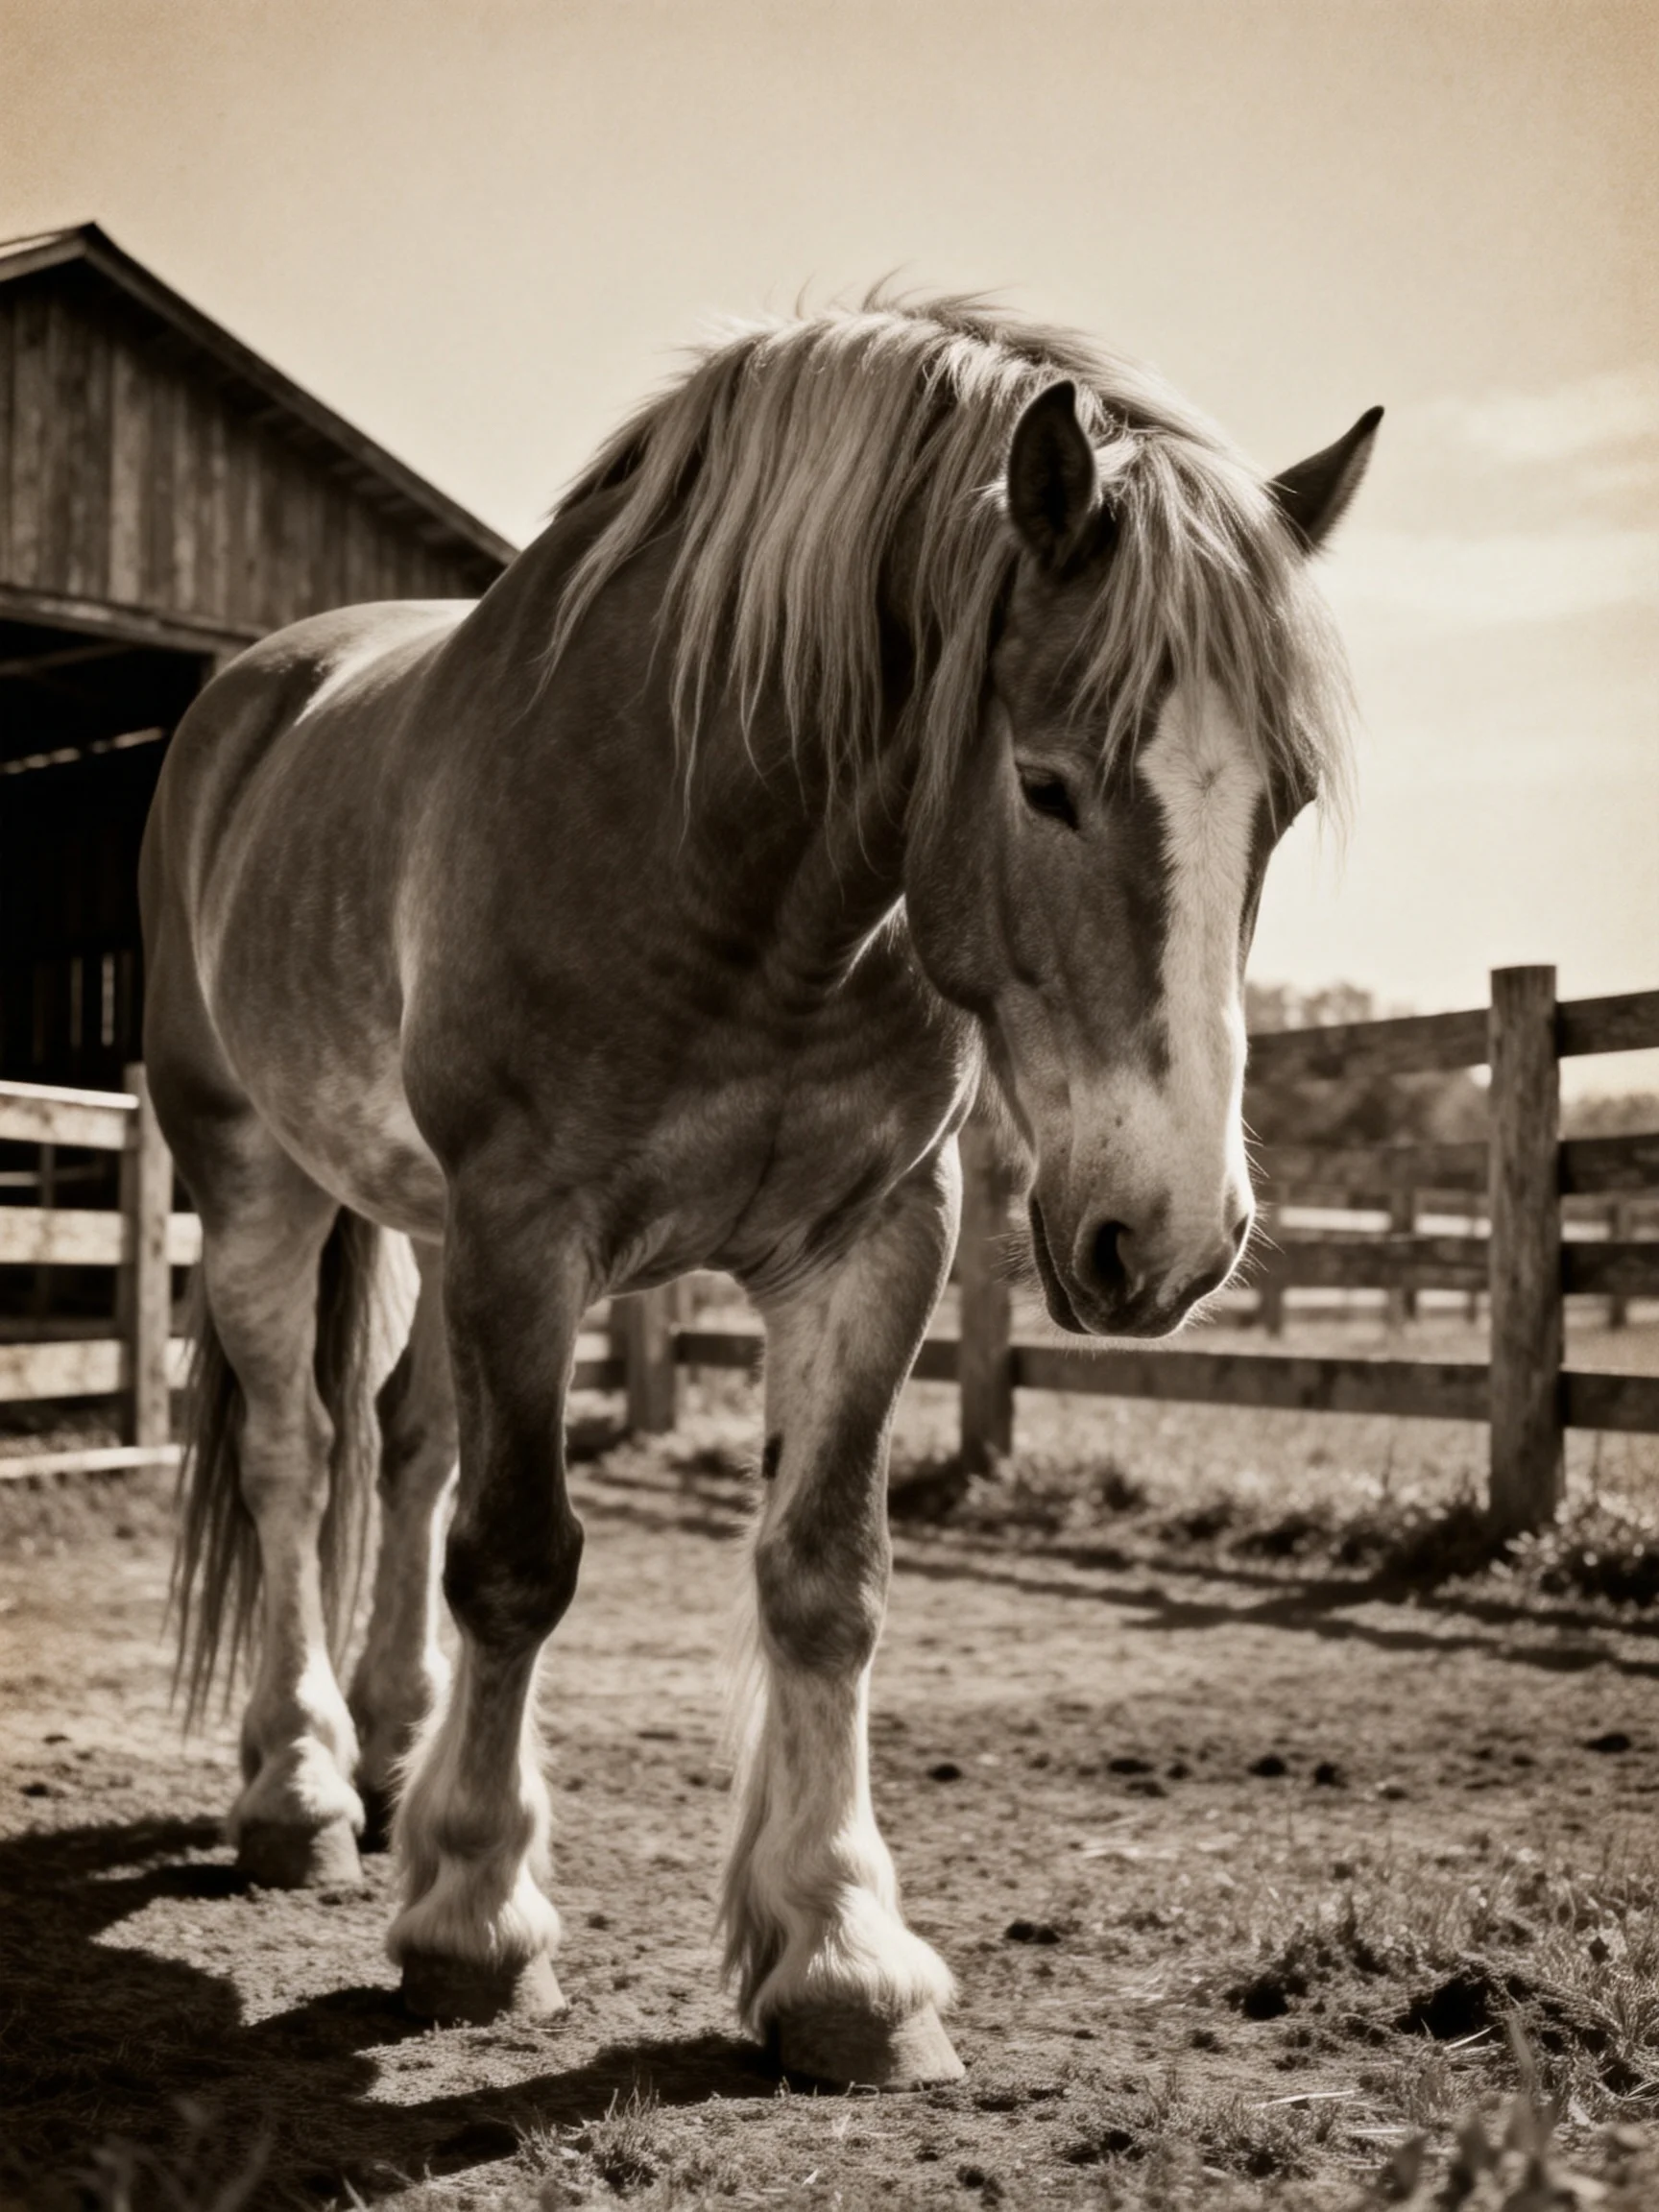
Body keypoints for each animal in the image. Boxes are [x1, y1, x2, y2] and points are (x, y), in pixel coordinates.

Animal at [141, 296, 1378, 2088]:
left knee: (406, 1449)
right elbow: (519, 1556)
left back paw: (389, 1755)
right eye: (1047, 780)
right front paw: (476, 1923)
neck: (734, 874)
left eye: (1279, 801)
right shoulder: (527, 1226)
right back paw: (297, 1789)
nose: (1170, 1241)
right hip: (254, 1176)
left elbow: (823, 1581)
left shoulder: (874, 1242)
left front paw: (843, 1959)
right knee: (300, 1463)